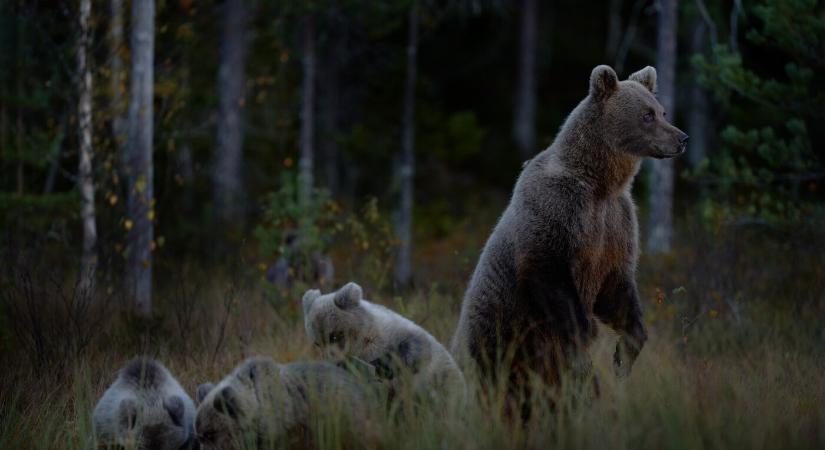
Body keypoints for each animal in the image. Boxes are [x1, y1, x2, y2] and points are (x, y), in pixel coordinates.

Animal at [450, 65, 688, 392]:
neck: (600, 182)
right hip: (496, 335)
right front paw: (586, 345)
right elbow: (551, 275)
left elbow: (617, 288)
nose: (682, 138)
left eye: (662, 111)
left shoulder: (616, 223)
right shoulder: (558, 211)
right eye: (647, 115)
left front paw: (622, 358)